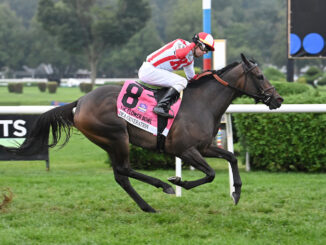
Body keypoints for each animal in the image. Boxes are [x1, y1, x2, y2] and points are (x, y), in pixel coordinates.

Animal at [1, 54, 282, 212]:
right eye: (259, 76)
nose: (278, 99)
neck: (202, 103)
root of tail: (79, 101)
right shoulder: (185, 149)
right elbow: (211, 174)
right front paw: (178, 182)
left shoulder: (204, 147)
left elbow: (231, 157)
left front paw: (236, 193)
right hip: (116, 137)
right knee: (124, 170)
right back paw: (162, 186)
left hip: (109, 142)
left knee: (121, 176)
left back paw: (147, 206)